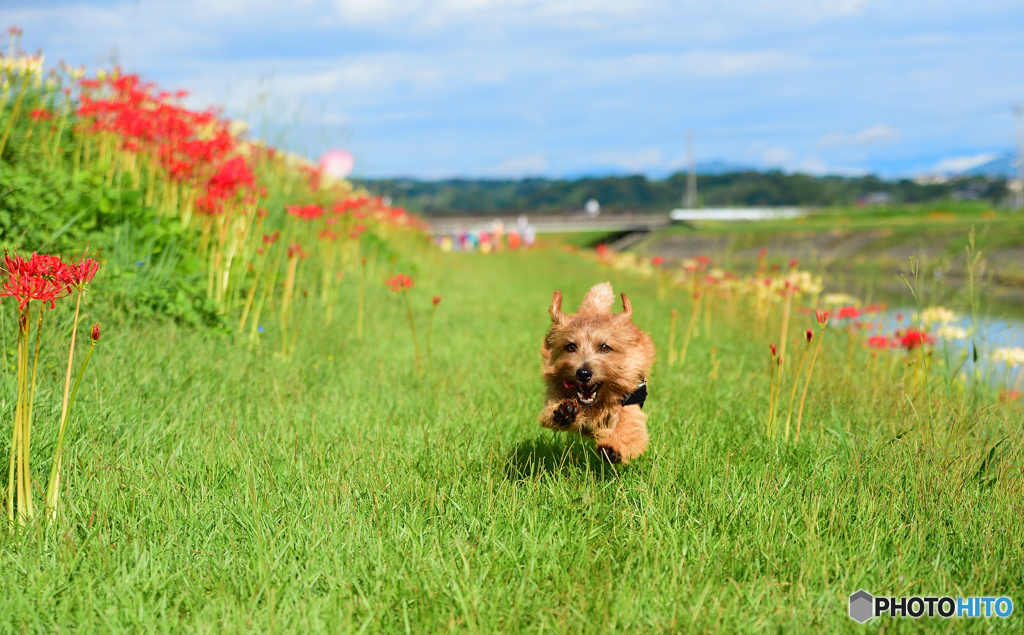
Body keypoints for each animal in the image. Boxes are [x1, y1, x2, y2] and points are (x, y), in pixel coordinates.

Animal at [536, 280, 655, 460]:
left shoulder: (630, 405)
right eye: (571, 347)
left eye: (605, 347)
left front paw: (613, 447)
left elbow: (629, 428)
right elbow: (550, 412)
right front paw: (565, 413)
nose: (583, 373)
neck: (597, 404)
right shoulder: (554, 396)